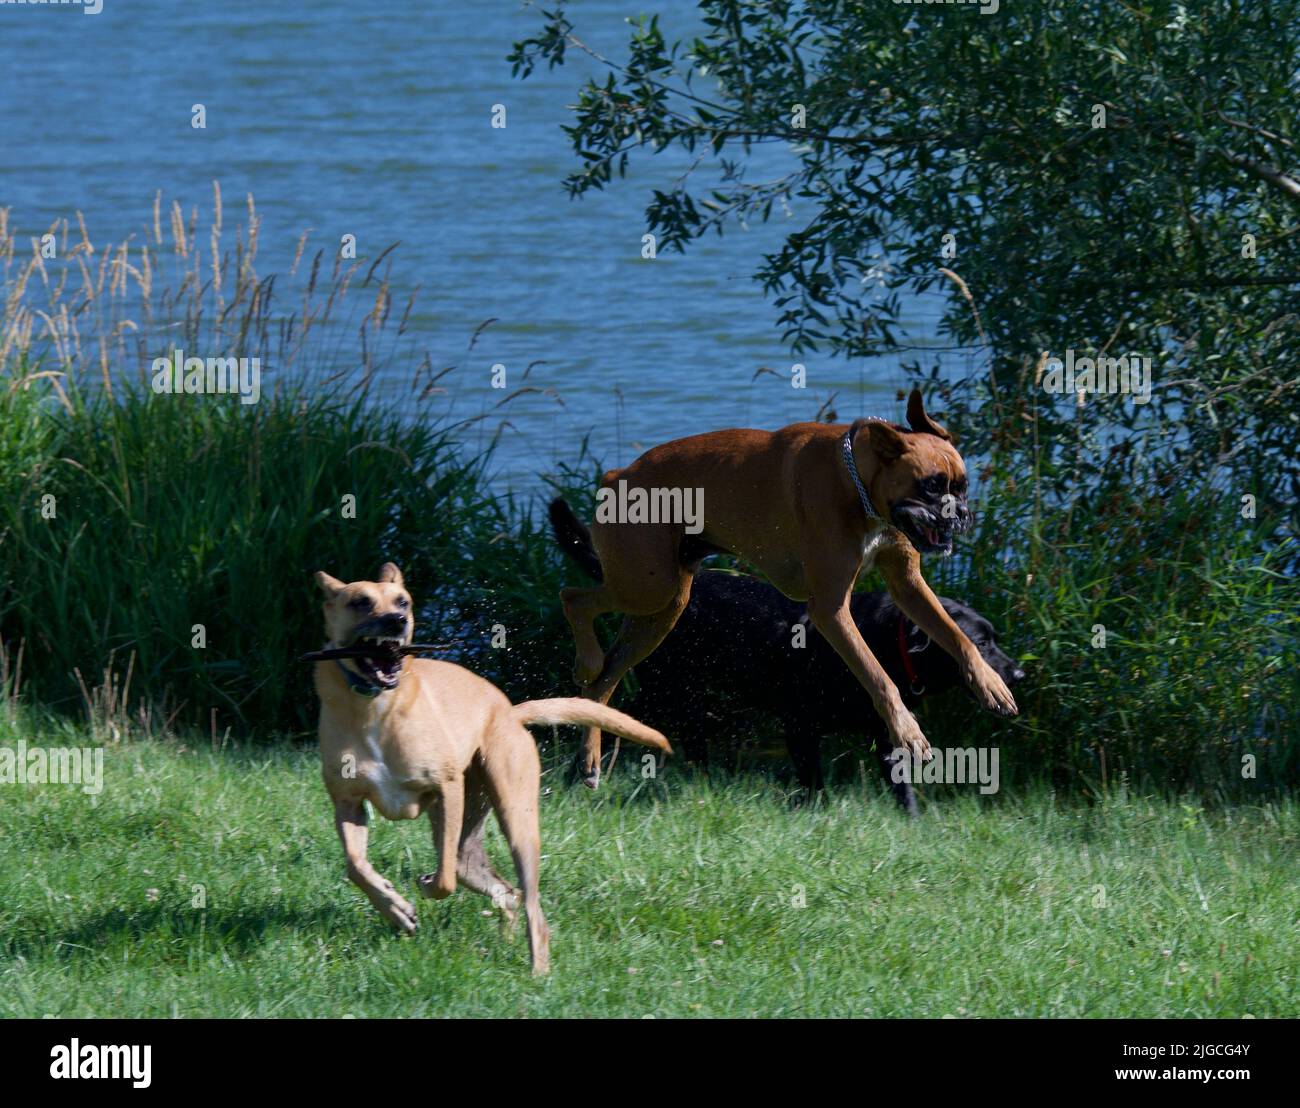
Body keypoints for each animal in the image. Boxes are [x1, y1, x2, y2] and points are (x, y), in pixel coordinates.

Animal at [315, 567, 676, 972]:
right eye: (360, 601)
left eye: (402, 601)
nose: (397, 621)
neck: (374, 707)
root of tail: (509, 713)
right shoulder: (348, 803)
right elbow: (355, 865)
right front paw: (396, 909)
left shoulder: (446, 787)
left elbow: (442, 881)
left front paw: (422, 888)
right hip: (470, 835)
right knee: (505, 890)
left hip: (515, 819)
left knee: (525, 901)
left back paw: (537, 972)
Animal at [548, 496, 1024, 811]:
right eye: (983, 643)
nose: (1018, 674)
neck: (888, 644)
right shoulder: (798, 724)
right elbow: (814, 783)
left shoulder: (887, 736)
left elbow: (902, 787)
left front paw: (915, 823)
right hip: (668, 689)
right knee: (607, 706)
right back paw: (579, 771)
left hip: (683, 696)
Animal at [559, 390, 1013, 785]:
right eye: (931, 486)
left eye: (962, 486)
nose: (962, 514)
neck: (857, 482)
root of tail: (616, 474)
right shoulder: (830, 610)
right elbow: (879, 675)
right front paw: (907, 732)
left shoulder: (909, 587)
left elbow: (956, 637)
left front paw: (991, 684)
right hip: (646, 586)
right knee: (575, 601)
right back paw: (586, 661)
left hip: (663, 608)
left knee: (605, 679)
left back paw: (589, 759)